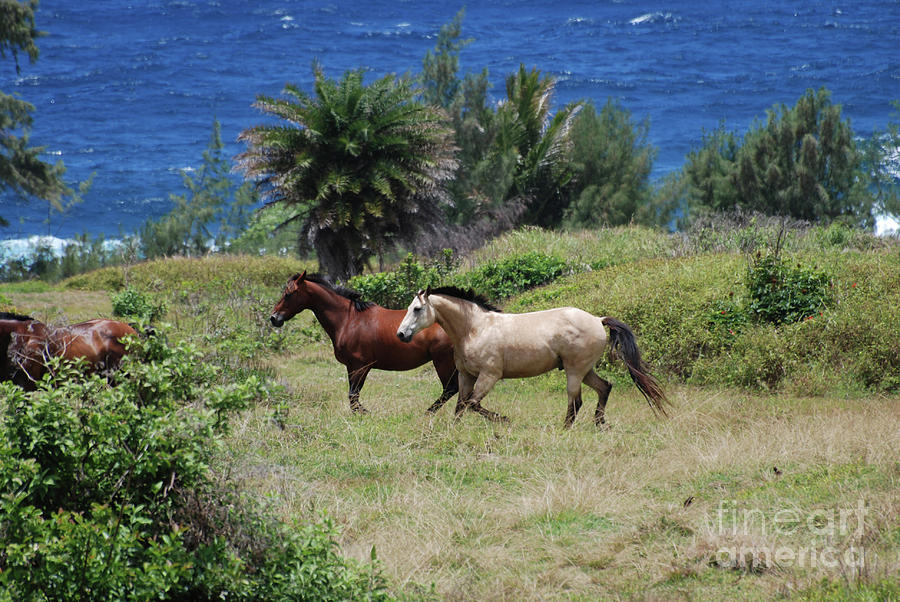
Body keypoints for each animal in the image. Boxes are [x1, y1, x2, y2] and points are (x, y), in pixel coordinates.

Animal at [268, 272, 458, 412]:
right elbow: (353, 396)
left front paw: (364, 413)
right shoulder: (352, 367)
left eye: (288, 294)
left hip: (443, 362)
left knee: (450, 389)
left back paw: (428, 413)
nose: (274, 318)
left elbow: (353, 396)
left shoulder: (361, 366)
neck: (349, 319)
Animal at [396, 288, 668, 424]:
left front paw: (504, 420)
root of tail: (597, 319)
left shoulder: (489, 375)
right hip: (585, 370)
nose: (401, 334)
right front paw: (455, 429)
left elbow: (474, 404)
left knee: (576, 402)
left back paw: (565, 429)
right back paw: (598, 424)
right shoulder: (466, 376)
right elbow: (461, 406)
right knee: (605, 387)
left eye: (417, 309)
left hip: (575, 371)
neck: (474, 328)